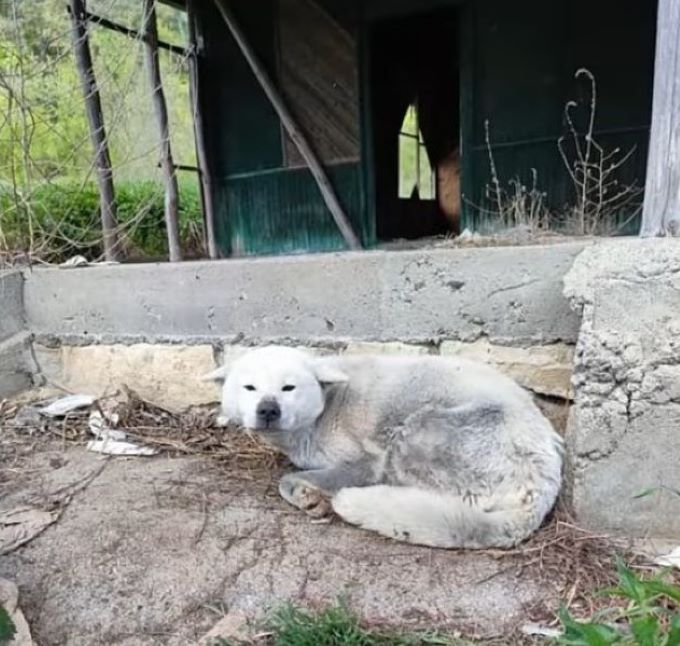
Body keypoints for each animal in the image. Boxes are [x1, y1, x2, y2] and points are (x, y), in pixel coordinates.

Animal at [206, 346, 564, 548]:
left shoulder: (367, 462)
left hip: (412, 434)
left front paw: (309, 495)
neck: (326, 406)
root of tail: (542, 485)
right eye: (250, 388)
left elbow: (289, 480)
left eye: (288, 388)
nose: (268, 410)